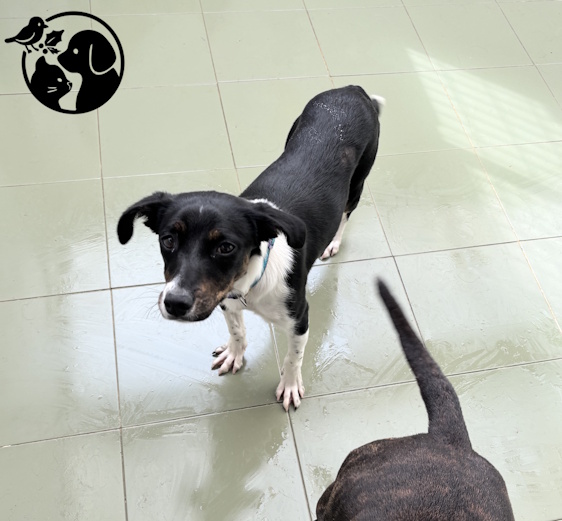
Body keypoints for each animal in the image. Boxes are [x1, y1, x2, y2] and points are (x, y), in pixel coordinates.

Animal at [117, 86, 383, 411]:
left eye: (226, 247)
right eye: (168, 240)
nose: (175, 303)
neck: (250, 284)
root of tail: (352, 89)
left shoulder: (300, 318)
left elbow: (293, 358)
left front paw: (290, 385)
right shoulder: (225, 299)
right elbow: (237, 331)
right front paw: (235, 354)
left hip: (358, 181)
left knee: (346, 213)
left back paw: (333, 242)